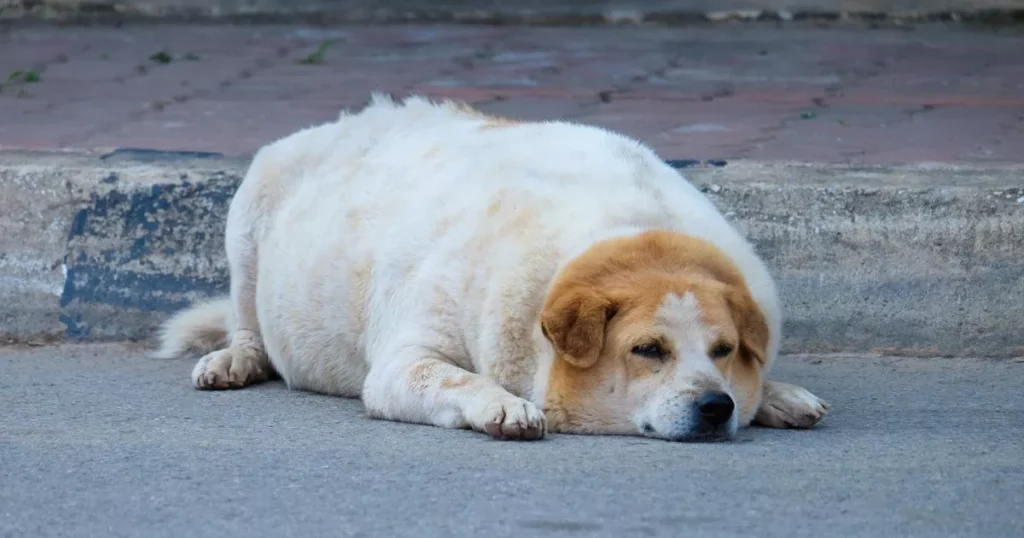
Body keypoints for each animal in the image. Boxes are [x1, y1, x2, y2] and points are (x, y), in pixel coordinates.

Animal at [155, 93, 827, 440]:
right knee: (247, 320)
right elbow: (452, 379)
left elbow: (761, 381)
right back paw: (236, 359)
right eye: (647, 350)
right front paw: (503, 406)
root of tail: (348, 120)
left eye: (722, 350)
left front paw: (775, 395)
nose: (715, 407)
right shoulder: (405, 361)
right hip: (249, 210)